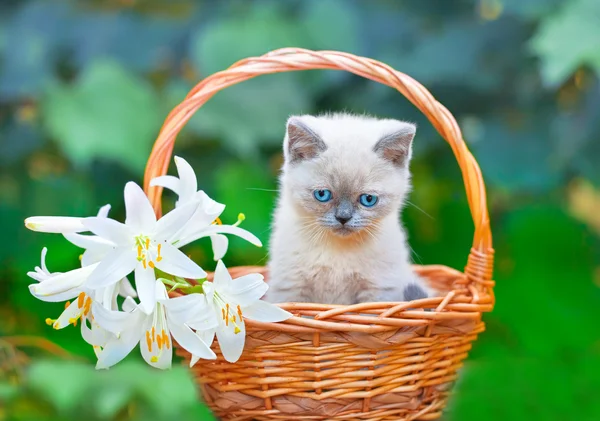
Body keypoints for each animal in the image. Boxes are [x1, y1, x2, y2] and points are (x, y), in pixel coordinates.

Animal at [266, 111, 432, 304]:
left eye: (368, 199)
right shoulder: (290, 287)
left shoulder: (379, 290)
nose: (343, 218)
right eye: (322, 194)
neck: (338, 251)